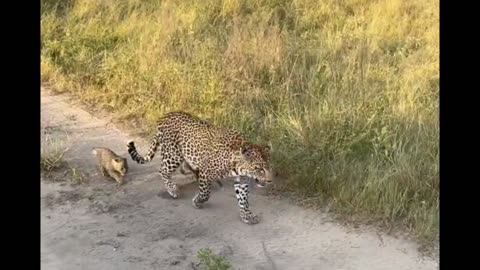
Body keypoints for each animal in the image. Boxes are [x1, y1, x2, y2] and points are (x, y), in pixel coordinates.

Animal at [126, 110, 274, 225]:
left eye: (268, 167)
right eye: (259, 168)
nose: (270, 181)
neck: (236, 164)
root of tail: (164, 116)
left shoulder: (241, 181)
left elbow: (243, 200)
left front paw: (246, 216)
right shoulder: (206, 172)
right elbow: (205, 193)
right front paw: (197, 201)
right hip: (173, 155)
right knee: (162, 170)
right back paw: (172, 189)